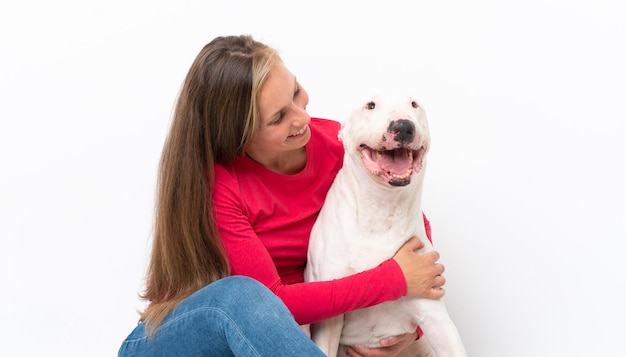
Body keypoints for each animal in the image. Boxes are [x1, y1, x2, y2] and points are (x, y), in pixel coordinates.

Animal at [302, 94, 464, 356]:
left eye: (414, 104)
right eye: (370, 105)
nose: (404, 127)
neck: (381, 207)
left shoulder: (433, 312)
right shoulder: (330, 318)